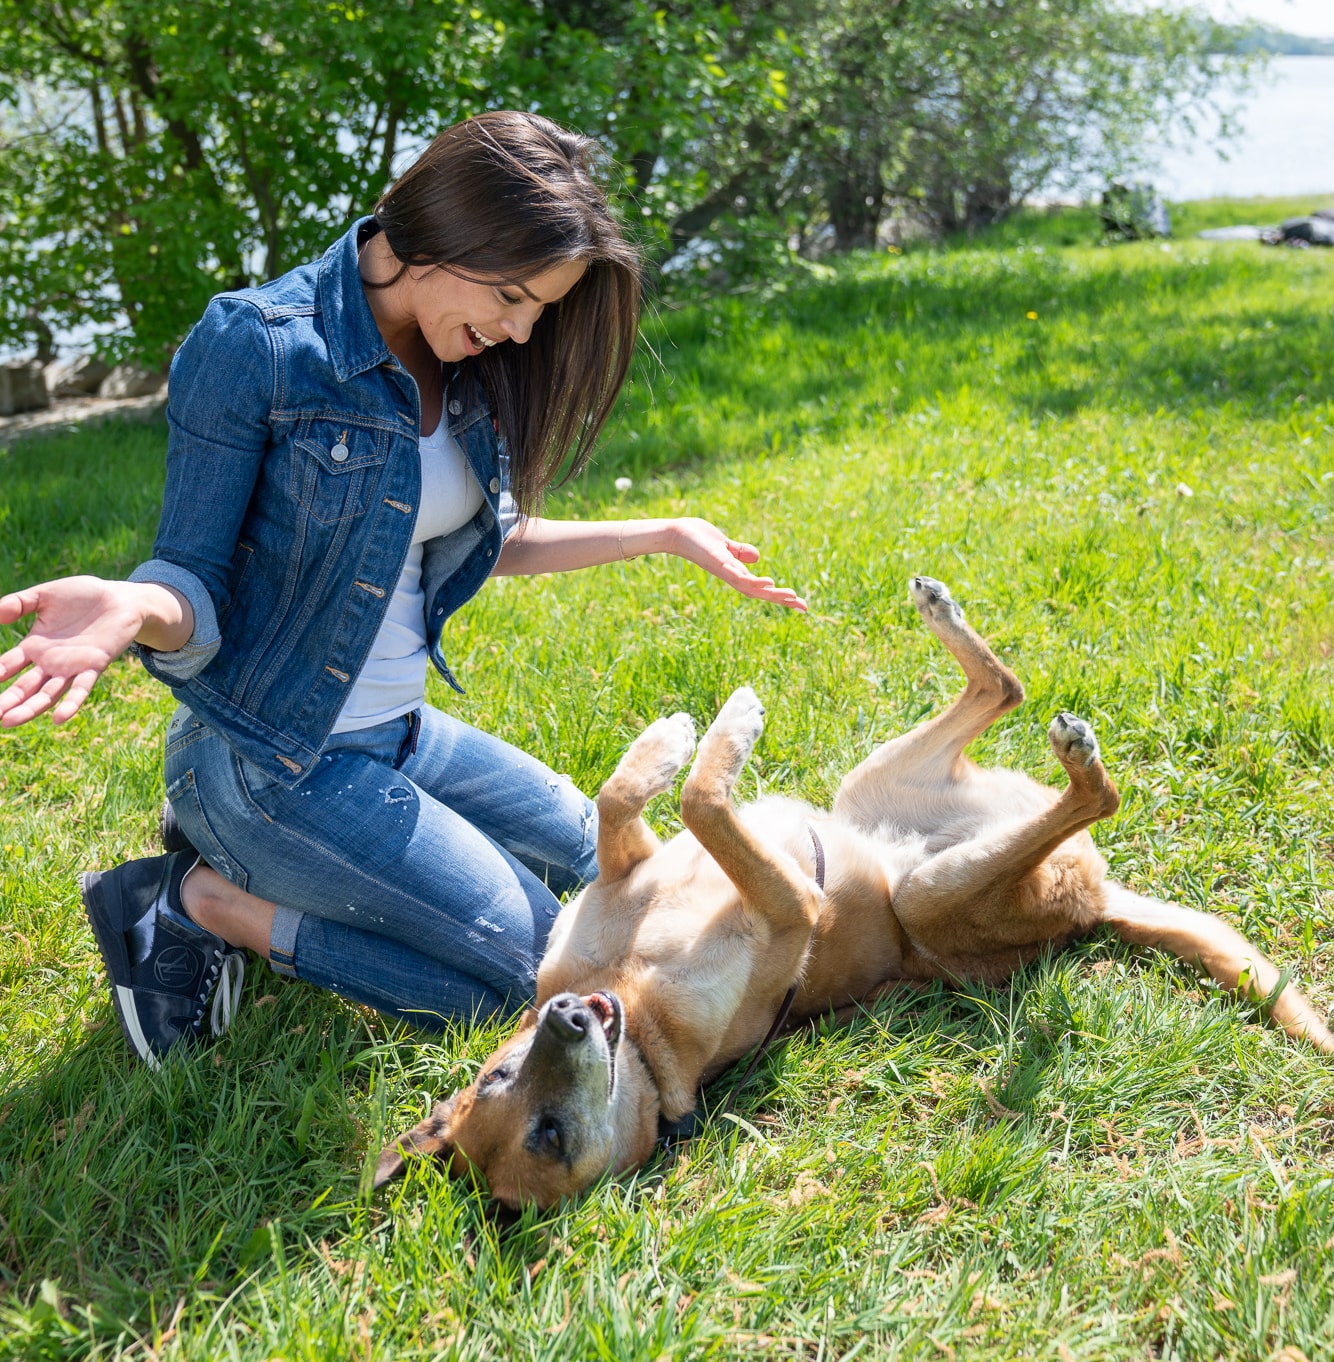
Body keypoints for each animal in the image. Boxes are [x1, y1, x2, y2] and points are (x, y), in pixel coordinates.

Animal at [375, 576, 1332, 1206]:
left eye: (501, 1073)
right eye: (545, 1134)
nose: (568, 1017)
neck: (637, 1010)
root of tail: (1097, 903)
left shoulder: (630, 865)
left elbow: (632, 796)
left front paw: (678, 734)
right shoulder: (793, 903)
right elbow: (703, 800)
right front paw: (719, 732)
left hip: (868, 785)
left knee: (1005, 687)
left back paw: (944, 614)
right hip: (931, 898)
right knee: (1095, 794)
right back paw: (1077, 762)